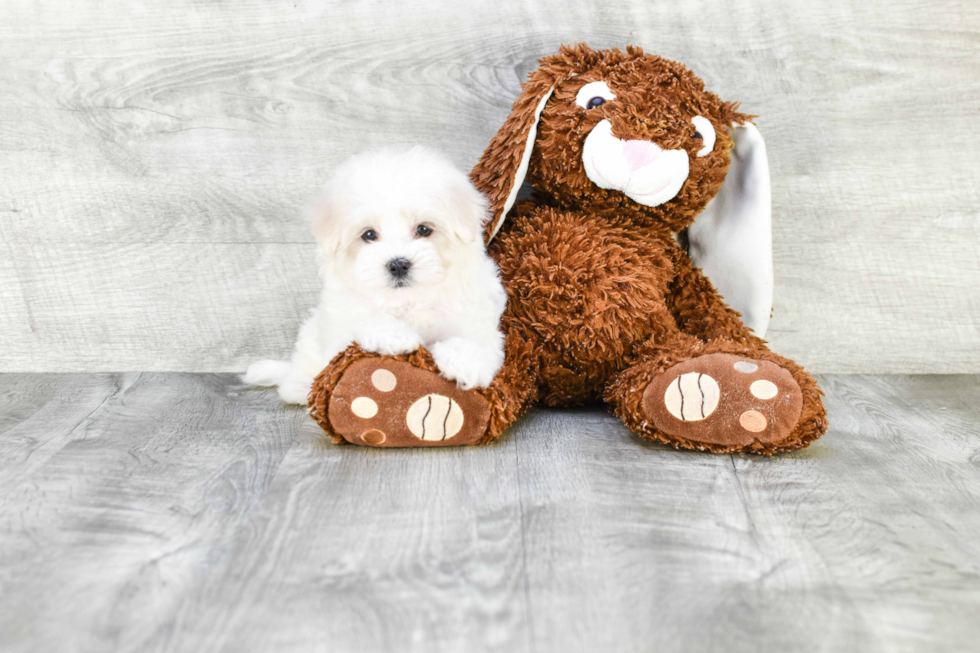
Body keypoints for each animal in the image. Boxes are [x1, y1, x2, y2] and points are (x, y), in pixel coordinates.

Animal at [243, 145, 506, 404]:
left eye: (423, 229)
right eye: (369, 234)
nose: (398, 264)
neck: (408, 300)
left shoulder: (474, 315)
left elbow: (476, 341)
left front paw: (464, 362)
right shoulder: (340, 331)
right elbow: (362, 324)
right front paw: (394, 335)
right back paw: (299, 387)